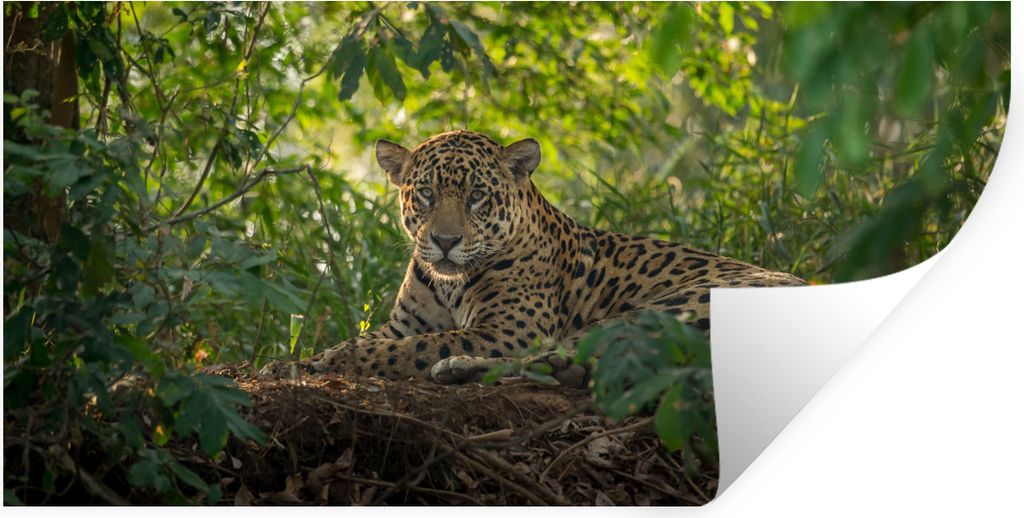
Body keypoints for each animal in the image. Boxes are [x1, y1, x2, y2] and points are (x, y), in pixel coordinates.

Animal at [260, 130, 804, 385]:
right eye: (427, 194)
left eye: (477, 195)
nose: (445, 241)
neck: (450, 283)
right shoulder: (403, 323)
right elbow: (376, 339)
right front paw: (291, 363)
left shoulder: (508, 328)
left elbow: (406, 349)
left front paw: (331, 363)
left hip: (660, 310)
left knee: (557, 357)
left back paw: (456, 367)